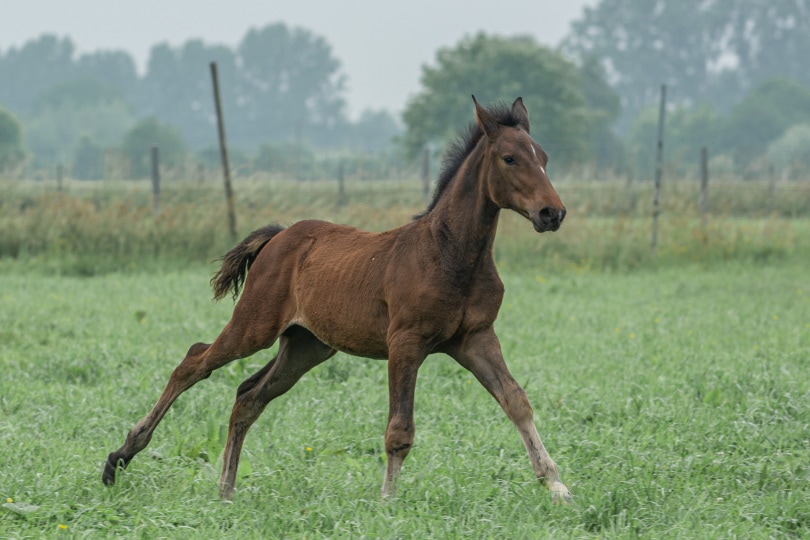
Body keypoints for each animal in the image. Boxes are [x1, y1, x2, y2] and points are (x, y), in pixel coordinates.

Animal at [101, 96, 568, 502]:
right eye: (509, 158)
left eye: (544, 157)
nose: (553, 213)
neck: (451, 254)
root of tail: (278, 237)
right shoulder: (406, 342)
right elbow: (400, 429)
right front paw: (387, 501)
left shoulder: (476, 338)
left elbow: (517, 401)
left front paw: (556, 486)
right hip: (254, 326)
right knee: (194, 362)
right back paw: (120, 457)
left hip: (306, 346)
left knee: (248, 396)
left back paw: (226, 490)